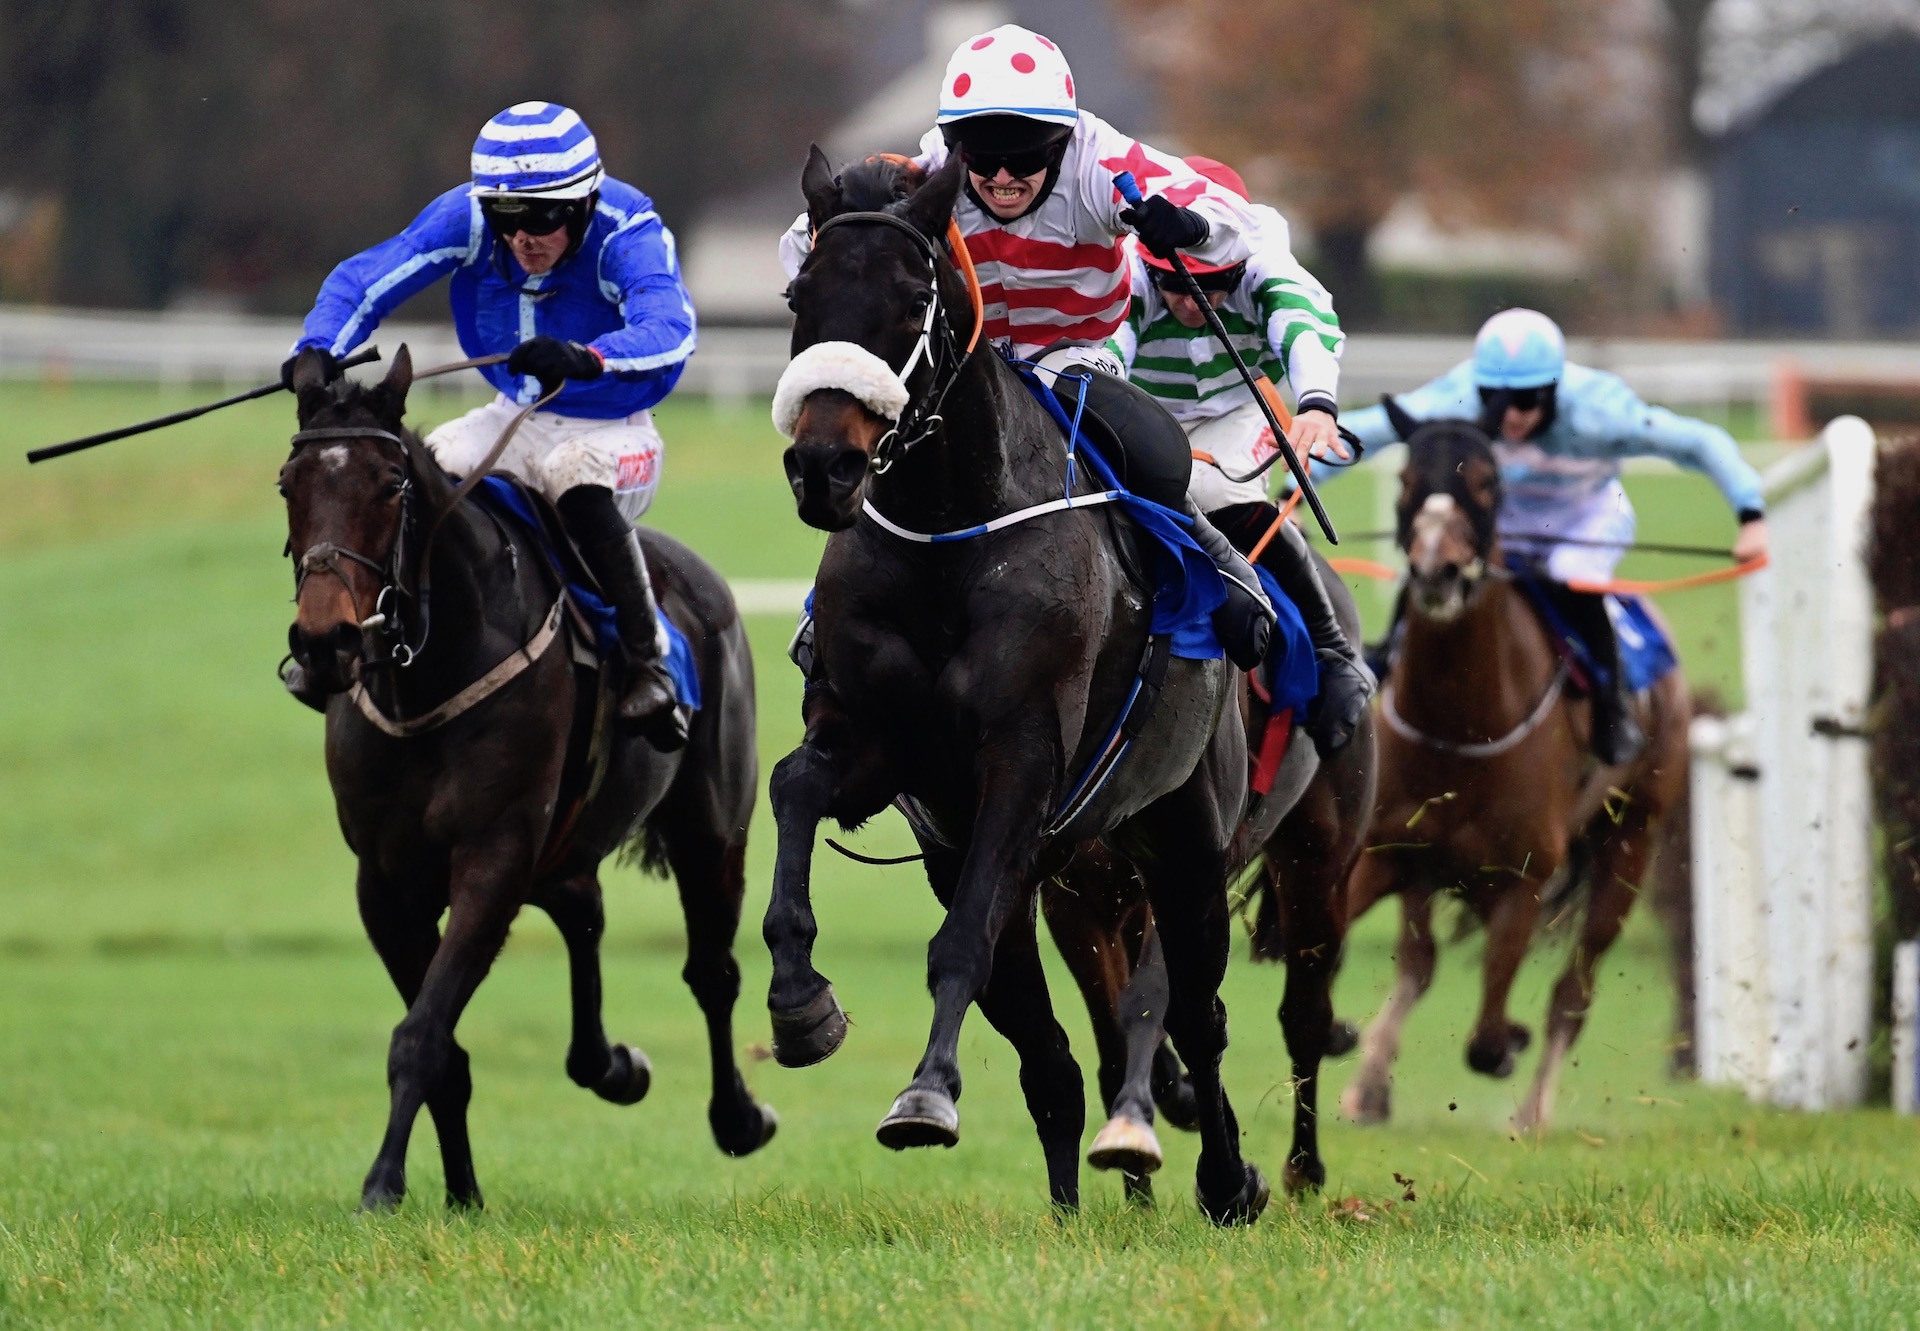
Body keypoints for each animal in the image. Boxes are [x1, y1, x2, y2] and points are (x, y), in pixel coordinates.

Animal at [280, 341, 771, 1206]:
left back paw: (737, 1116)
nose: (325, 640)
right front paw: (461, 1191)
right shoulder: (385, 879)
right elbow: (442, 1044)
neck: (431, 672)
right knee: (585, 910)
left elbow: (422, 1033)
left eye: (391, 482)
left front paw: (383, 1182)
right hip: (567, 841)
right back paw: (610, 1064)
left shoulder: (493, 853)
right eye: (288, 484)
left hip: (712, 832)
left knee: (712, 971)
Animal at [764, 150, 1274, 1221]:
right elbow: (795, 785)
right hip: (1013, 864)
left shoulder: (1023, 756)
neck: (950, 538)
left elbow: (957, 945)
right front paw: (800, 1002)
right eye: (800, 291)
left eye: (912, 294)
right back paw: (1074, 1206)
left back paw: (1222, 1177)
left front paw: (924, 1094)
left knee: (1197, 1015)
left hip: (1183, 840)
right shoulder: (883, 749)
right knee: (1051, 1058)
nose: (824, 465)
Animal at [1344, 407, 1689, 1129]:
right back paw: (1369, 1087)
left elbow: (1486, 1037)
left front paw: (1509, 1046)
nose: (1437, 572)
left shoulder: (1521, 879)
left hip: (1631, 842)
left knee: (1573, 991)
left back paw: (1531, 1112)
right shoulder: (1387, 851)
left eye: (1485, 481)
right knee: (1418, 963)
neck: (1460, 724)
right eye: (1408, 479)